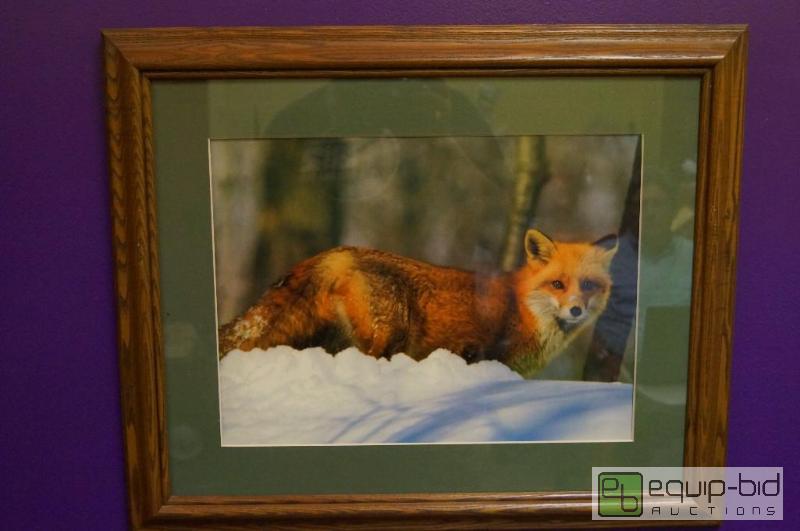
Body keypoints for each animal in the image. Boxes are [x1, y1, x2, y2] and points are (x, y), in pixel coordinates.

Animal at [218, 229, 618, 376]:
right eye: (558, 284)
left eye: (588, 285)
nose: (576, 309)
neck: (524, 307)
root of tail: (339, 252)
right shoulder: (491, 358)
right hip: (390, 335)